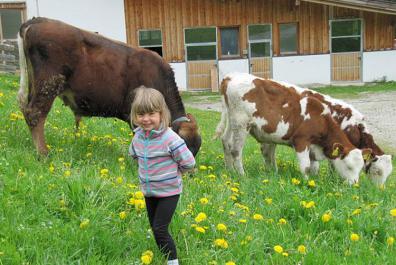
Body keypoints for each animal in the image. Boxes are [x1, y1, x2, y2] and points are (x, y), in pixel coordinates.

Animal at [17, 17, 201, 155]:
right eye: (183, 144)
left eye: (196, 148)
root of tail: (38, 20)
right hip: (49, 83)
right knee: (36, 113)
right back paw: (44, 154)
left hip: (35, 84)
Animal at [213, 72, 372, 184]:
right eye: (349, 166)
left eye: (360, 168)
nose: (354, 184)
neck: (320, 118)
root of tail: (230, 77)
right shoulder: (301, 140)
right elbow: (306, 166)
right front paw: (308, 183)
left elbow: (313, 167)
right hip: (241, 124)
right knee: (236, 150)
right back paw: (241, 175)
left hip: (232, 122)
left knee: (226, 142)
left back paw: (230, 171)